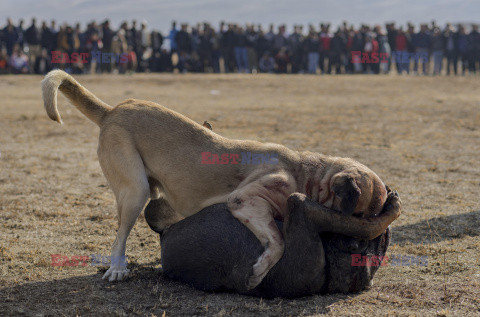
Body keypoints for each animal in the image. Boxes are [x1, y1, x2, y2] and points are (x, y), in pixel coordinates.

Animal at [43, 69, 400, 286]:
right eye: (361, 217)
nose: (358, 245)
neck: (305, 172)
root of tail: (113, 110)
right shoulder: (246, 201)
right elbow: (278, 242)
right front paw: (258, 273)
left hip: (156, 191)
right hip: (135, 190)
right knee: (120, 235)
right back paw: (117, 267)